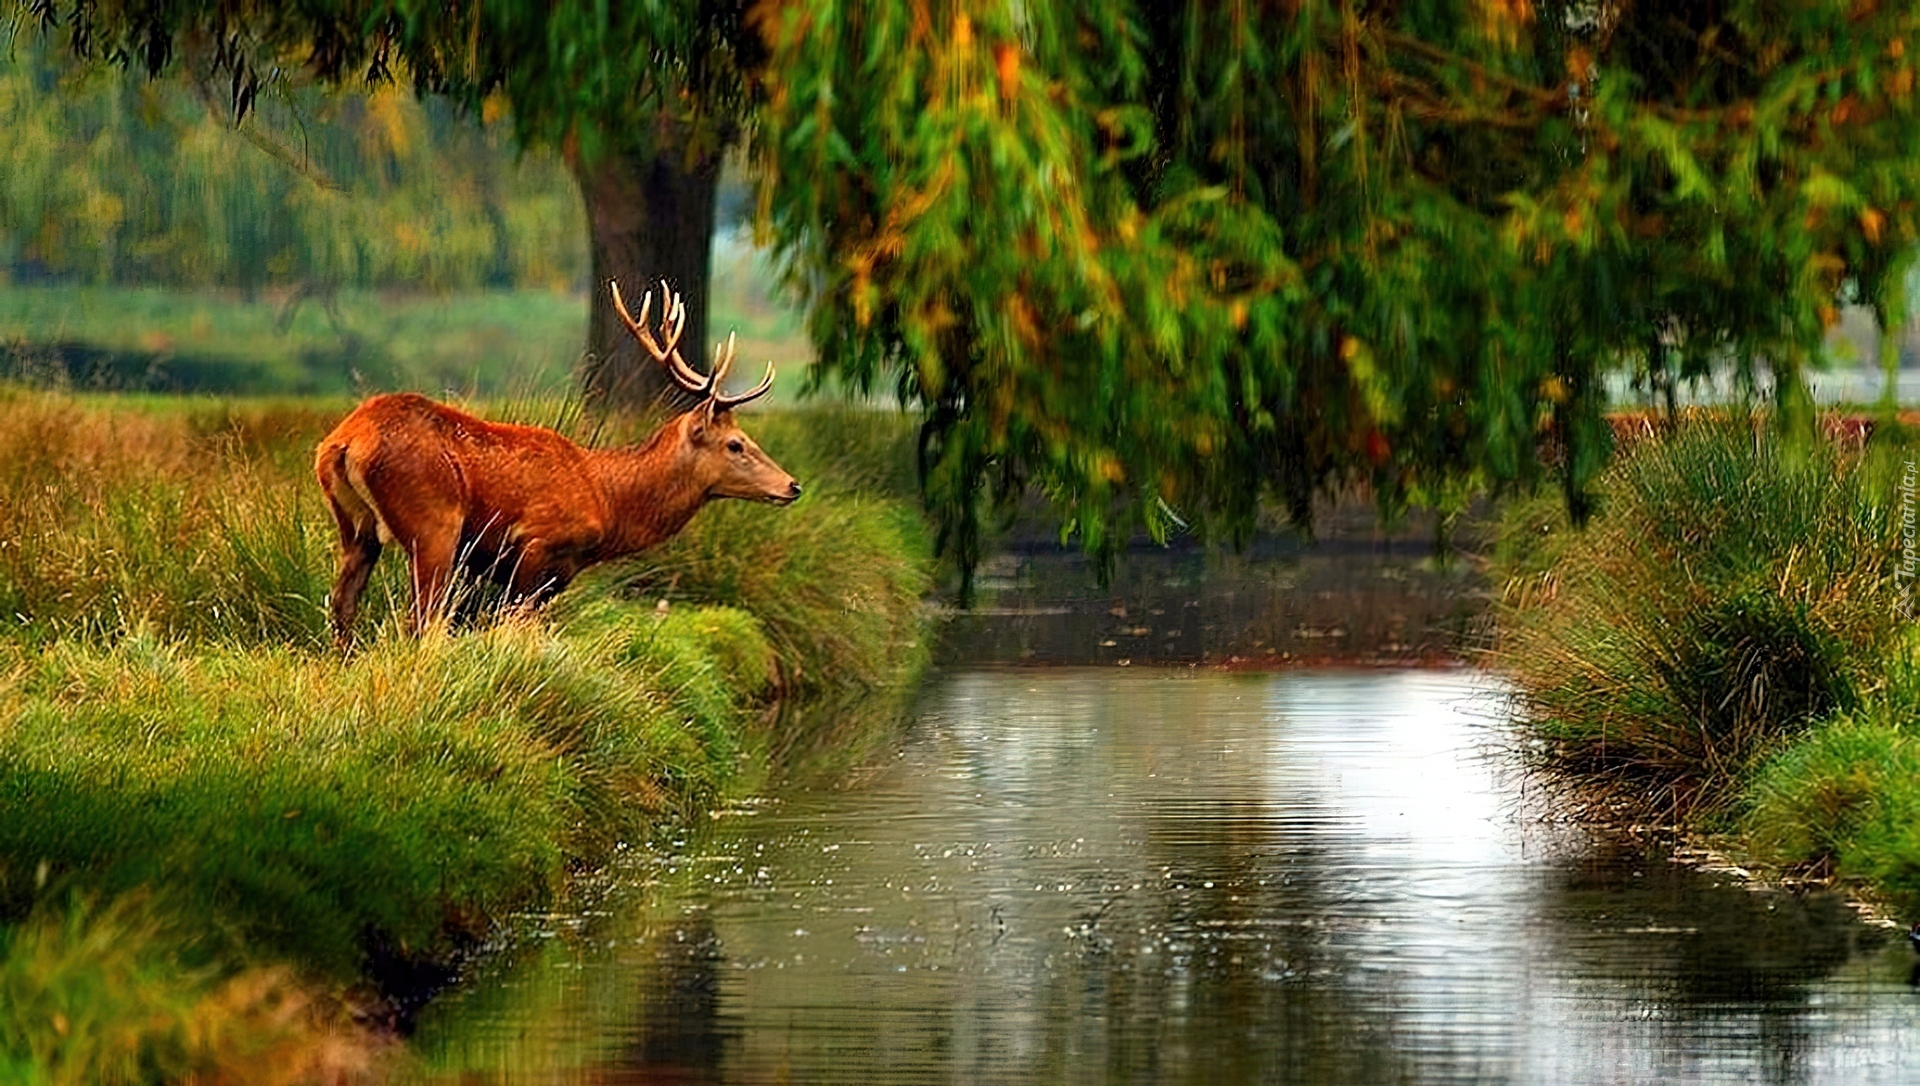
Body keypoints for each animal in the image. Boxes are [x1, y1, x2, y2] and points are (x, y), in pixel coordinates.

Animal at [318, 285, 798, 652]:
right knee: (421, 618)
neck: (607, 500)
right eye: (736, 444)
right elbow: (514, 624)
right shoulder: (536, 543)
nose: (792, 485)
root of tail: (345, 442)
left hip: (355, 526)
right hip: (434, 521)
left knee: (342, 604)